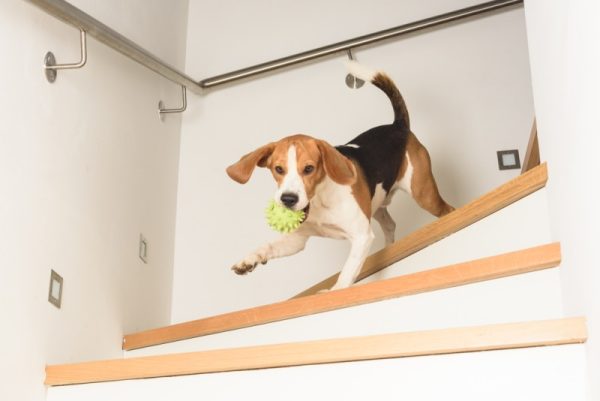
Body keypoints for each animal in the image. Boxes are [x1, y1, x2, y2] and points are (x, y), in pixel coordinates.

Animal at [227, 61, 452, 290]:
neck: (319, 202)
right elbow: (269, 246)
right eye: (278, 169)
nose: (288, 199)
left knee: (447, 210)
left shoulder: (362, 236)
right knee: (390, 225)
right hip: (376, 203)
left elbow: (347, 272)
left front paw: (335, 290)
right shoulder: (297, 240)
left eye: (309, 168)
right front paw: (250, 259)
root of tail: (398, 126)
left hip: (424, 194)